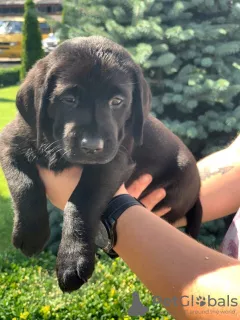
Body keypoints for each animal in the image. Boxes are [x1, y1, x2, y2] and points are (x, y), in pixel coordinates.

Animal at [0, 35, 202, 292]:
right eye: (69, 99)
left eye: (117, 101)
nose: (92, 146)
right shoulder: (10, 143)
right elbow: (23, 185)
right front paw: (32, 233)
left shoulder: (112, 161)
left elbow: (79, 201)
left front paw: (72, 259)